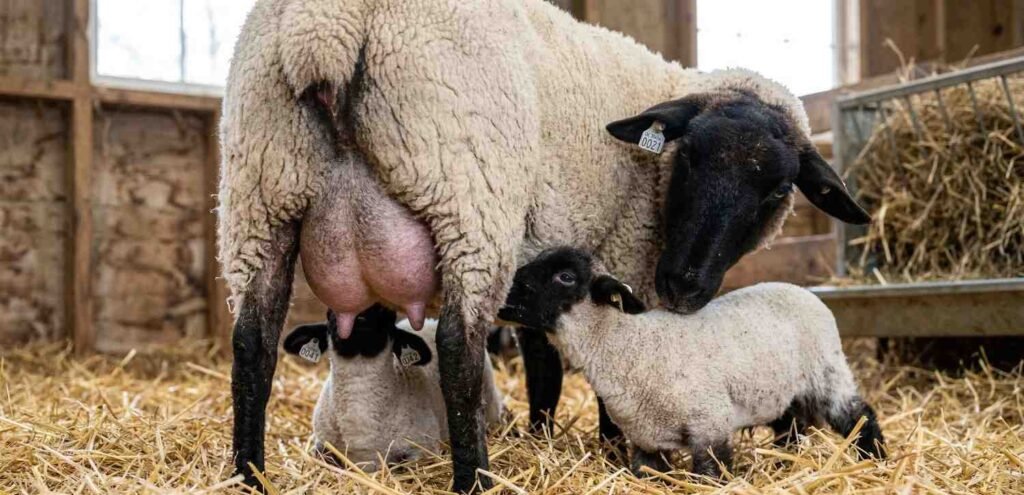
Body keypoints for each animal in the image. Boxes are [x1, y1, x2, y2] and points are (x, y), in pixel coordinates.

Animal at [283, 306, 505, 471]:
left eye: (386, 314)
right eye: (330, 314)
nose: (361, 315)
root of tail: (431, 321)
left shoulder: (421, 449)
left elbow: (399, 466)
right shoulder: (322, 446)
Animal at [498, 247, 887, 477]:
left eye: (565, 277)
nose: (505, 294)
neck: (626, 345)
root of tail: (804, 290)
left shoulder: (709, 424)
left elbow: (710, 474)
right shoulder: (645, 442)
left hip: (827, 372)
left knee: (859, 415)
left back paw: (876, 459)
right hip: (780, 391)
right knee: (791, 427)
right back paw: (783, 465)